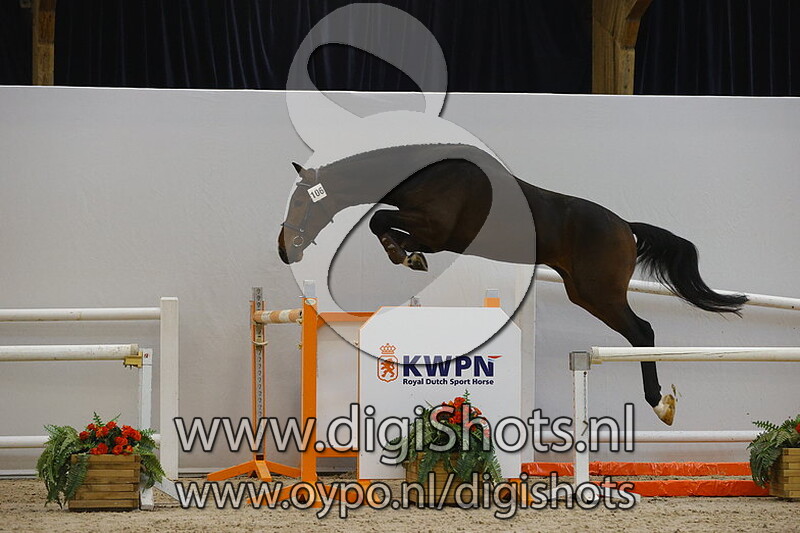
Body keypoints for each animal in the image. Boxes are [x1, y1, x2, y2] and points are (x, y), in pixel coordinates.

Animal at [277, 144, 747, 425]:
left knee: (642, 332)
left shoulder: (436, 228)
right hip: (585, 293)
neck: (425, 176)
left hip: (601, 292)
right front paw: (407, 254)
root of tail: (625, 227)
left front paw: (402, 253)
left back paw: (660, 403)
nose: (284, 249)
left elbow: (380, 220)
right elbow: (388, 226)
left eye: (300, 201)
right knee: (637, 333)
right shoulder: (433, 233)